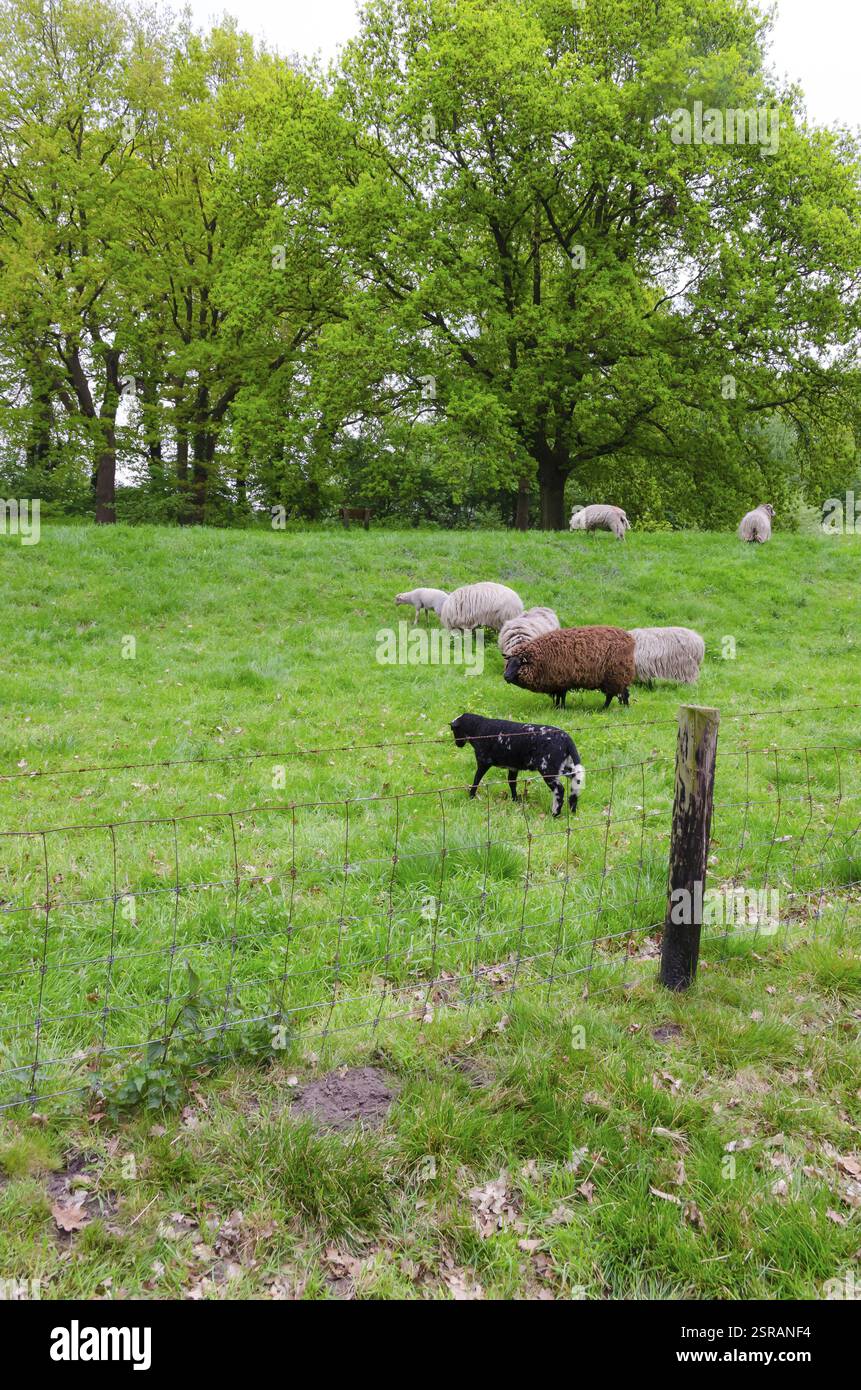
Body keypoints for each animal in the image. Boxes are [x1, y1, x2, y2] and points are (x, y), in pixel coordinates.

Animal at [450, 713, 584, 817]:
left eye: (453, 730)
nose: (457, 744)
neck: (478, 728)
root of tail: (566, 738)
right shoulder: (513, 767)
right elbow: (512, 782)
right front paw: (515, 800)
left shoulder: (483, 762)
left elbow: (476, 780)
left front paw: (471, 796)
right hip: (565, 766)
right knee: (576, 781)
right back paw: (572, 810)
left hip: (548, 769)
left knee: (559, 789)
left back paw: (555, 813)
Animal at [503, 625, 635, 710]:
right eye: (508, 663)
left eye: (519, 663)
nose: (505, 676)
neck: (541, 658)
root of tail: (630, 639)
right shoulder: (557, 682)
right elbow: (558, 697)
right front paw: (556, 707)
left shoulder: (562, 680)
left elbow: (561, 696)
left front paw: (561, 708)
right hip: (617, 676)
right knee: (623, 693)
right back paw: (625, 707)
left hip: (615, 675)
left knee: (613, 695)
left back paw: (605, 709)